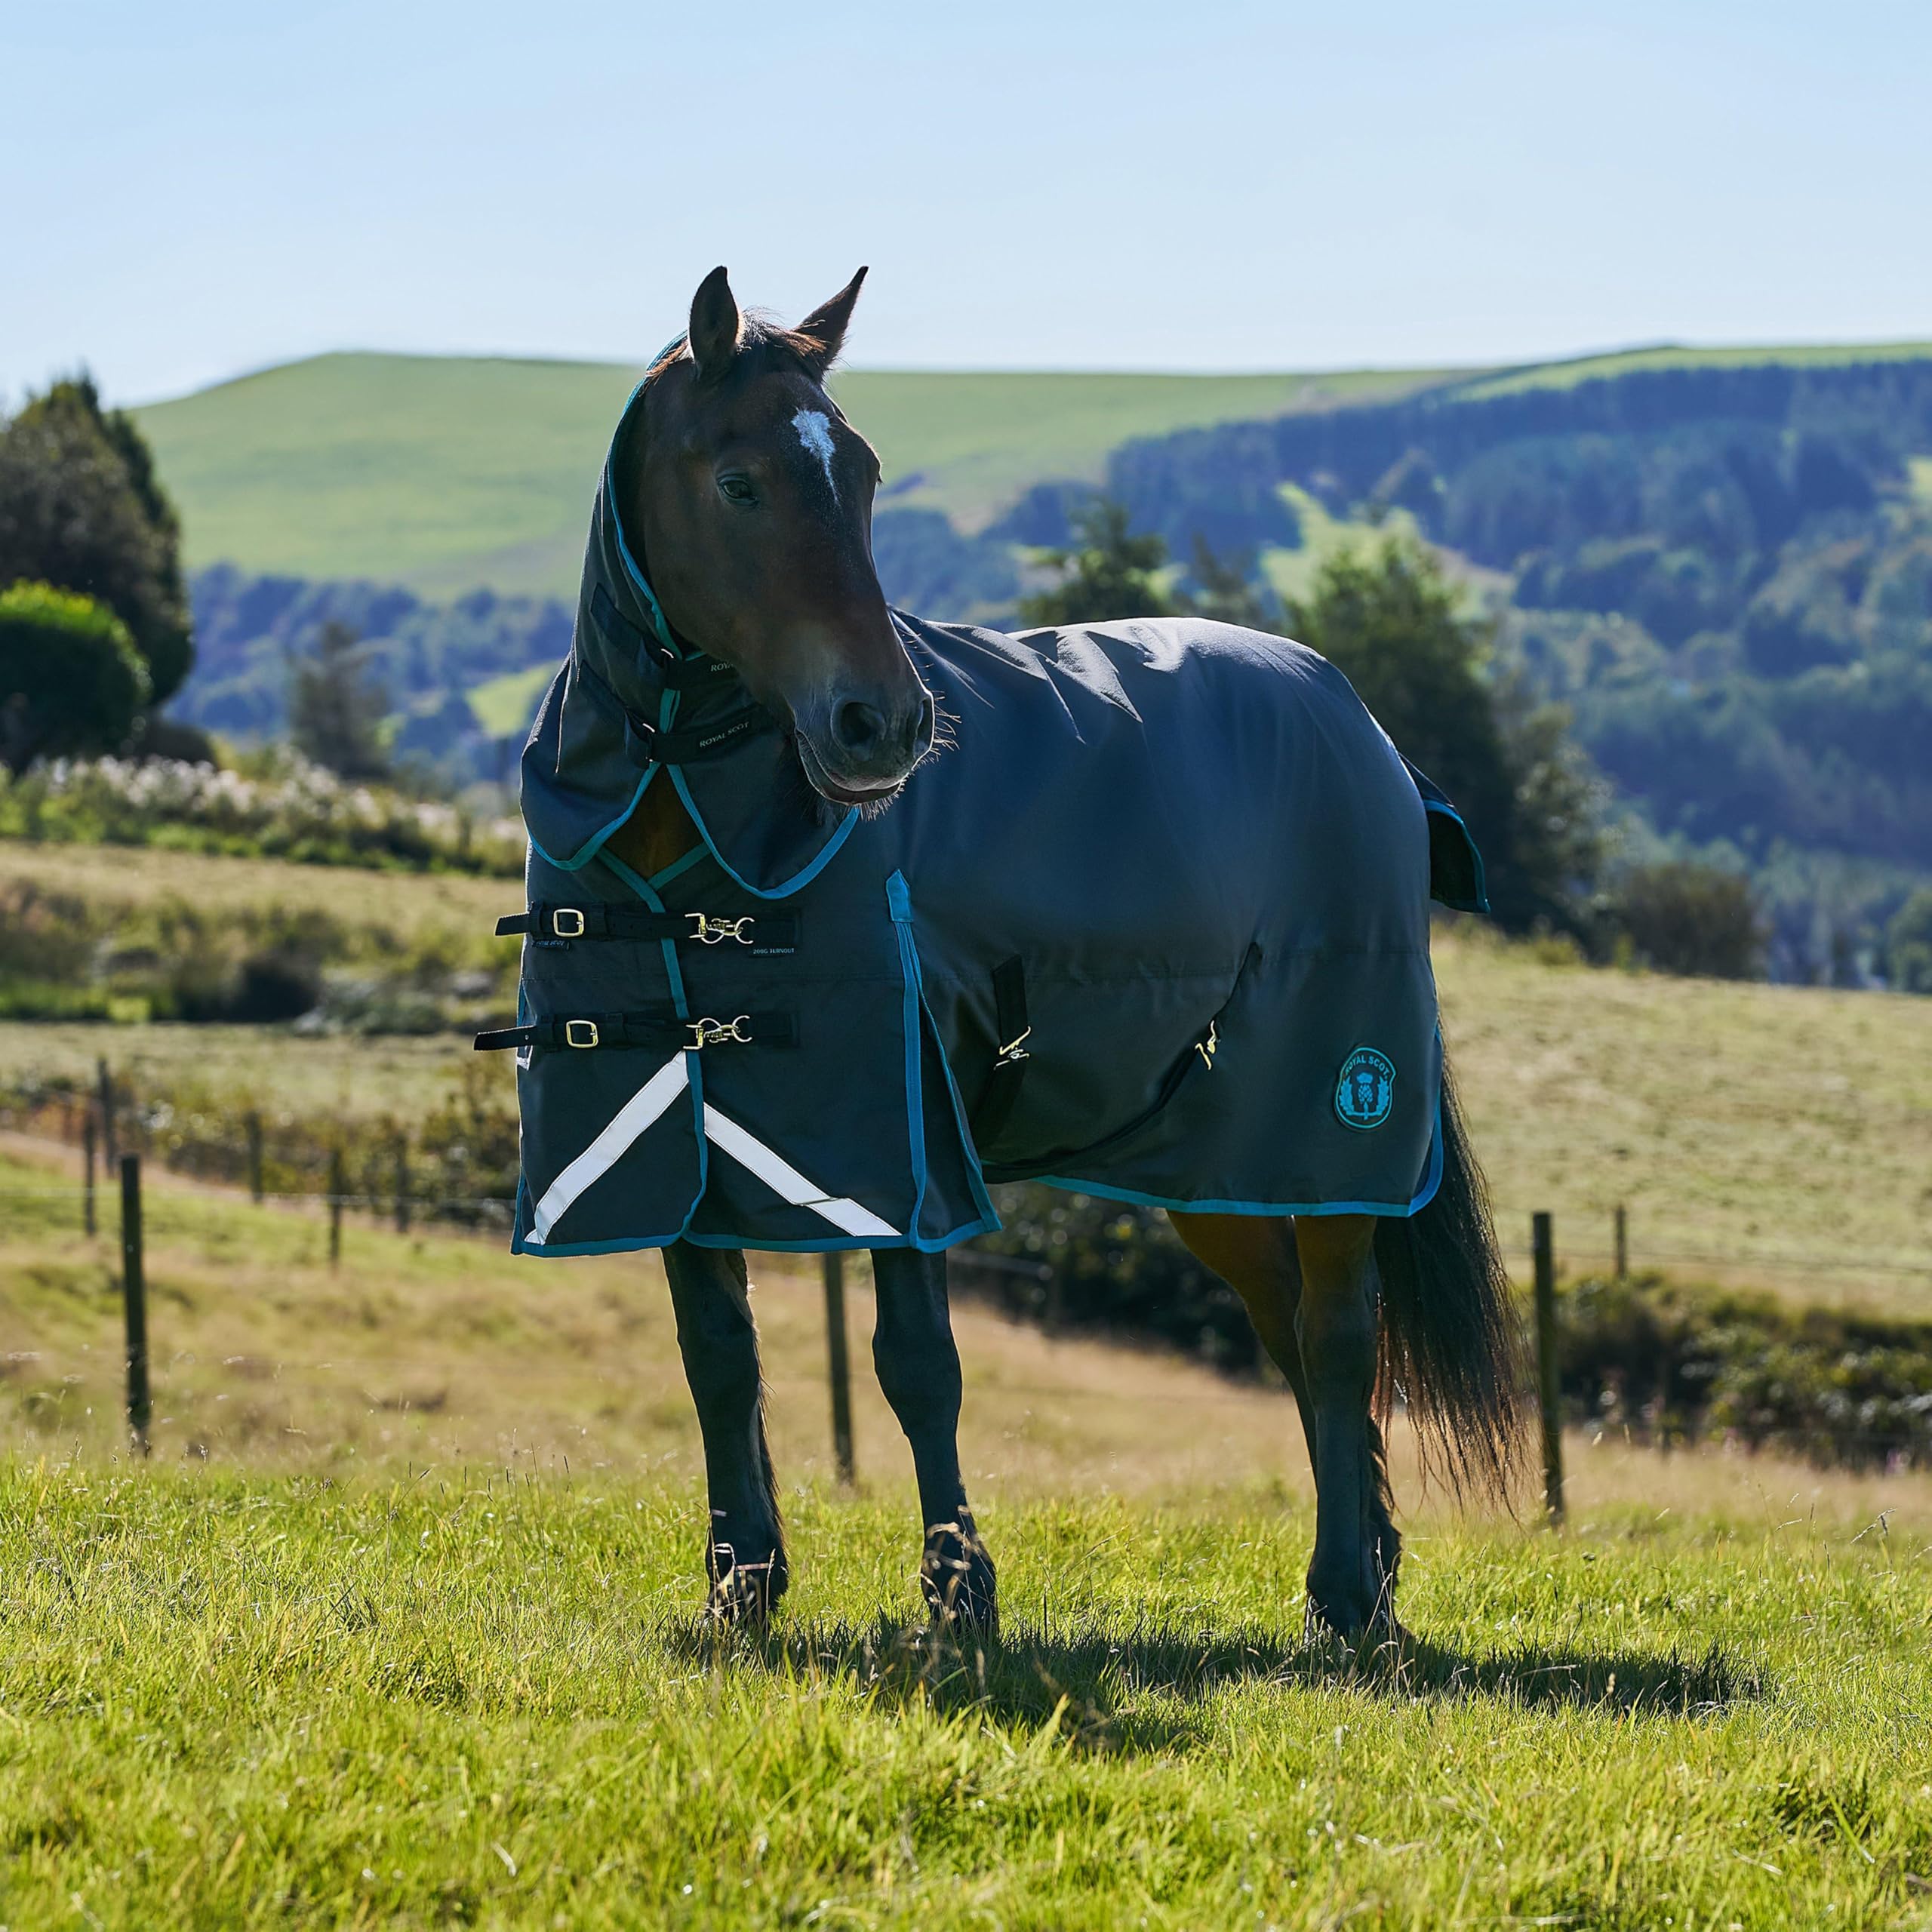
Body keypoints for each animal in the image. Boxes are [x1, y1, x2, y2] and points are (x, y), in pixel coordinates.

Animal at [486, 265, 1526, 1643]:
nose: (883, 724)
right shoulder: (673, 1128)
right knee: (1298, 1340)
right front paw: (742, 1587)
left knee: (1344, 1335)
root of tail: (1365, 730)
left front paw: (957, 1593)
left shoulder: (902, 1140)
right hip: (1220, 1171)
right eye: (741, 482)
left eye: (863, 473)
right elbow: (720, 1360)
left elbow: (917, 1363)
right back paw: (1358, 1576)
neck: (682, 819)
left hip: (1333, 1123)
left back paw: (1352, 1598)